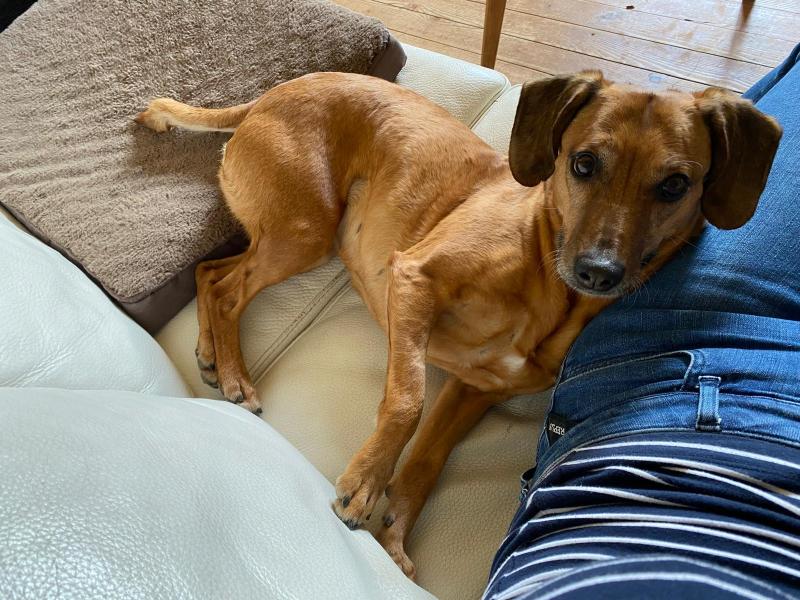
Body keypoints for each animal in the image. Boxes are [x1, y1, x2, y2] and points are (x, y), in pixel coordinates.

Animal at [135, 71, 781, 578]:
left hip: (287, 234)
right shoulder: (413, 281)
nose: (598, 272)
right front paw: (366, 483)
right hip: (307, 230)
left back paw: (213, 354)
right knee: (225, 289)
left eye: (675, 185)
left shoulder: (475, 389)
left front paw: (394, 532)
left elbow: (427, 463)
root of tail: (270, 95)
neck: (546, 284)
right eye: (583, 164)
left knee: (209, 272)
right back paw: (237, 374)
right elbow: (407, 402)